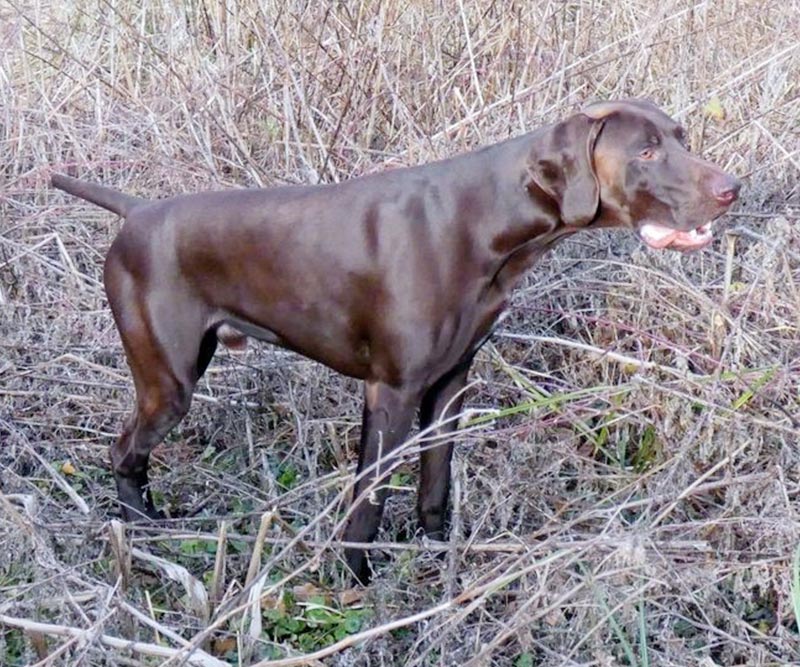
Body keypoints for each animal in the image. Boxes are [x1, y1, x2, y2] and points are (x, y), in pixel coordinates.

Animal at [50, 99, 740, 584]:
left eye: (682, 139)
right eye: (645, 151)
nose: (732, 188)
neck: (486, 222)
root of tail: (137, 212)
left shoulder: (450, 383)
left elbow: (436, 481)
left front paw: (436, 553)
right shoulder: (392, 390)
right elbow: (369, 501)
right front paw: (352, 582)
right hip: (168, 380)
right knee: (124, 452)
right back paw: (144, 531)